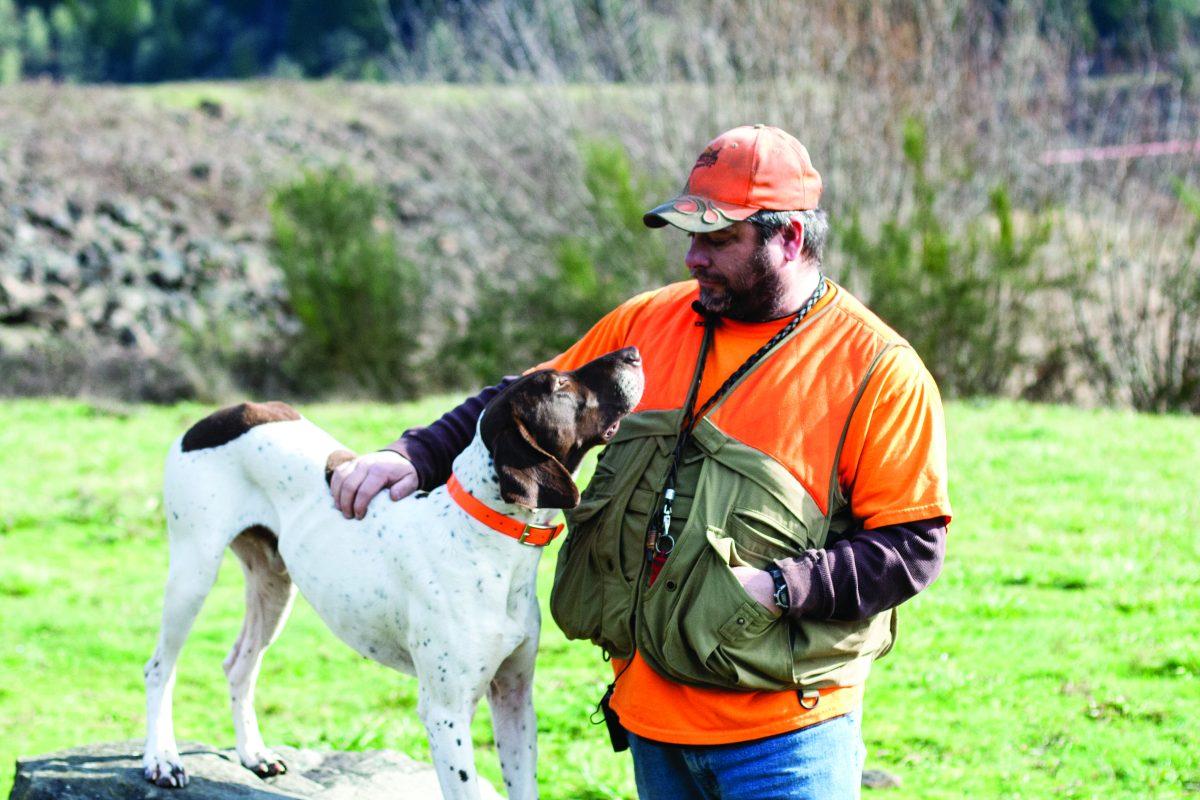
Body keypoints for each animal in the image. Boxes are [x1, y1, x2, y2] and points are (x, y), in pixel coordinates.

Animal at [141, 347, 648, 800]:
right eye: (559, 384)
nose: (632, 353)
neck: (483, 533)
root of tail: (221, 414)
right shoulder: (445, 714)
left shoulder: (514, 695)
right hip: (193, 570)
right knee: (159, 668)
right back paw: (162, 759)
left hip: (274, 584)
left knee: (239, 665)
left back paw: (253, 754)